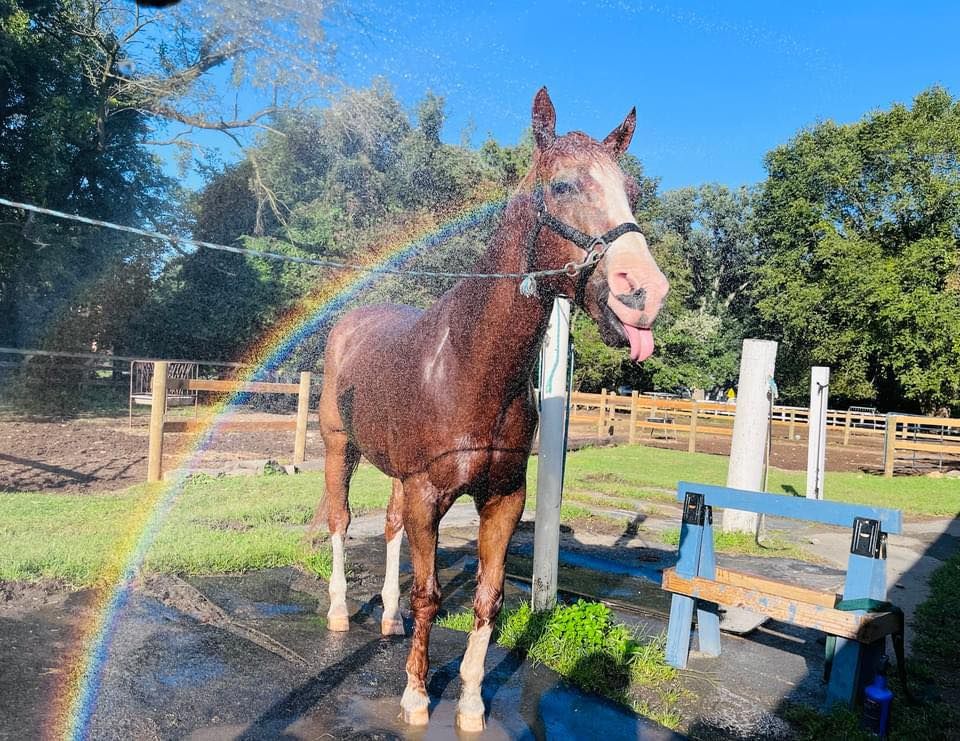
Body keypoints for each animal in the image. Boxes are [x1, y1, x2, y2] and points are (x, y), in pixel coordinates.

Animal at [312, 86, 672, 728]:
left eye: (631, 190)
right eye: (563, 185)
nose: (645, 294)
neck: (468, 364)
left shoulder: (502, 498)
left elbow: (488, 598)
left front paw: (472, 704)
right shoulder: (429, 494)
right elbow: (430, 593)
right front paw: (416, 695)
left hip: (396, 474)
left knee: (389, 527)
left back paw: (386, 617)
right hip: (339, 448)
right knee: (340, 522)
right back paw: (338, 611)